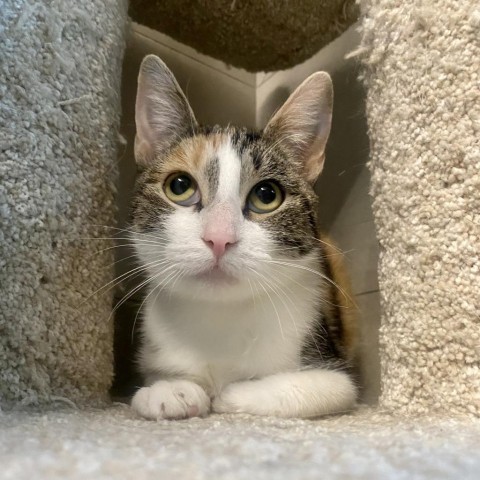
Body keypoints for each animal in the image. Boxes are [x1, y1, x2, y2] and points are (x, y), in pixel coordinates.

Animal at [127, 54, 356, 418]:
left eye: (267, 195)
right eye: (179, 186)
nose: (219, 238)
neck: (223, 316)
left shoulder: (332, 369)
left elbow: (318, 389)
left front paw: (228, 393)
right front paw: (169, 390)